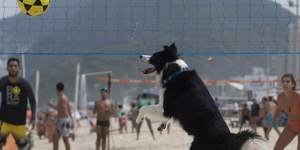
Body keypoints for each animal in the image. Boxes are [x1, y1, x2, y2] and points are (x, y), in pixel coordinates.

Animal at [137, 43, 268, 150]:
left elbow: (144, 108)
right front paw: (162, 125)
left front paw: (139, 119)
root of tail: (227, 137)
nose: (140, 56)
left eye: (154, 56)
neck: (174, 71)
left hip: (197, 145)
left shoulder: (166, 108)